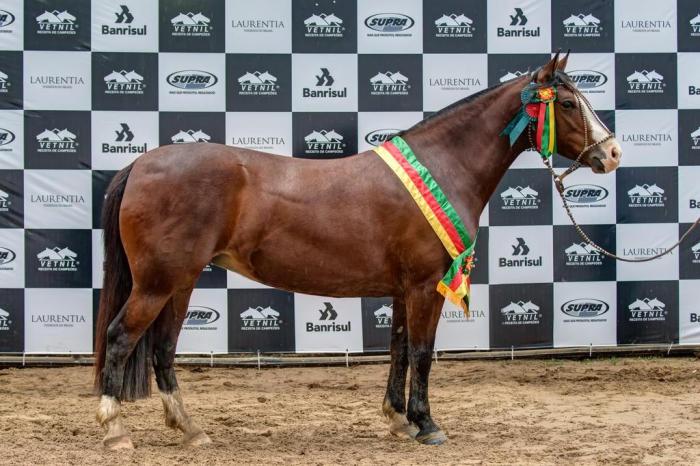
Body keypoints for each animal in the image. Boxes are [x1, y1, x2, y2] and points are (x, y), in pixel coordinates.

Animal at [93, 53, 621, 449]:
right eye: (568, 103)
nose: (612, 154)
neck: (443, 166)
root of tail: (140, 164)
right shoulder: (426, 285)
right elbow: (423, 351)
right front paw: (427, 425)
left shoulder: (405, 289)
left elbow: (399, 349)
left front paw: (398, 419)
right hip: (157, 283)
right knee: (120, 338)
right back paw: (115, 430)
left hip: (179, 282)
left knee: (162, 349)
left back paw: (190, 430)